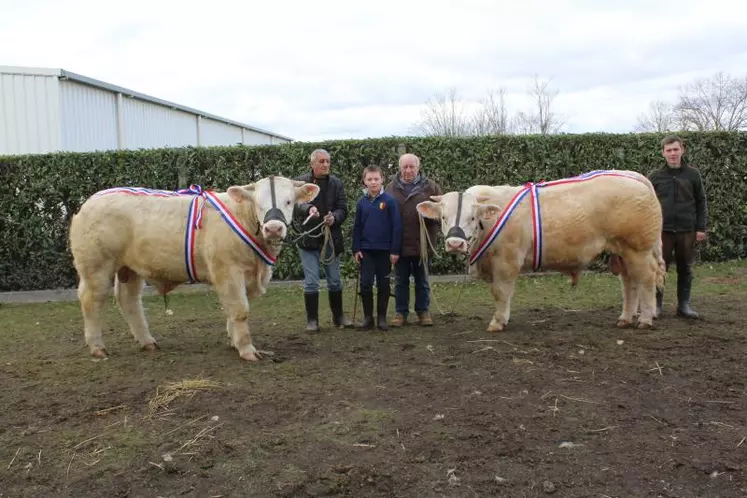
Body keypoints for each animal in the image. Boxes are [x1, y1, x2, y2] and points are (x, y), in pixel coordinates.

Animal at [71, 175, 322, 362]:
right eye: (258, 203)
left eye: (289, 201)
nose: (273, 228)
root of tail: (90, 201)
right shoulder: (228, 270)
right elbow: (240, 310)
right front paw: (247, 350)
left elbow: (232, 311)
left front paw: (234, 342)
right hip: (96, 266)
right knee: (91, 299)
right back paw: (97, 347)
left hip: (130, 268)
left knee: (128, 300)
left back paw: (147, 342)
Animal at [418, 170, 668, 330]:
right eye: (443, 217)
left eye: (472, 217)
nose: (455, 244)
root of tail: (635, 178)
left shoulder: (507, 261)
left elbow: (501, 292)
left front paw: (498, 322)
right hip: (622, 251)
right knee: (629, 283)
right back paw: (625, 318)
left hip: (638, 249)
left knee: (646, 279)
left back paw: (645, 320)